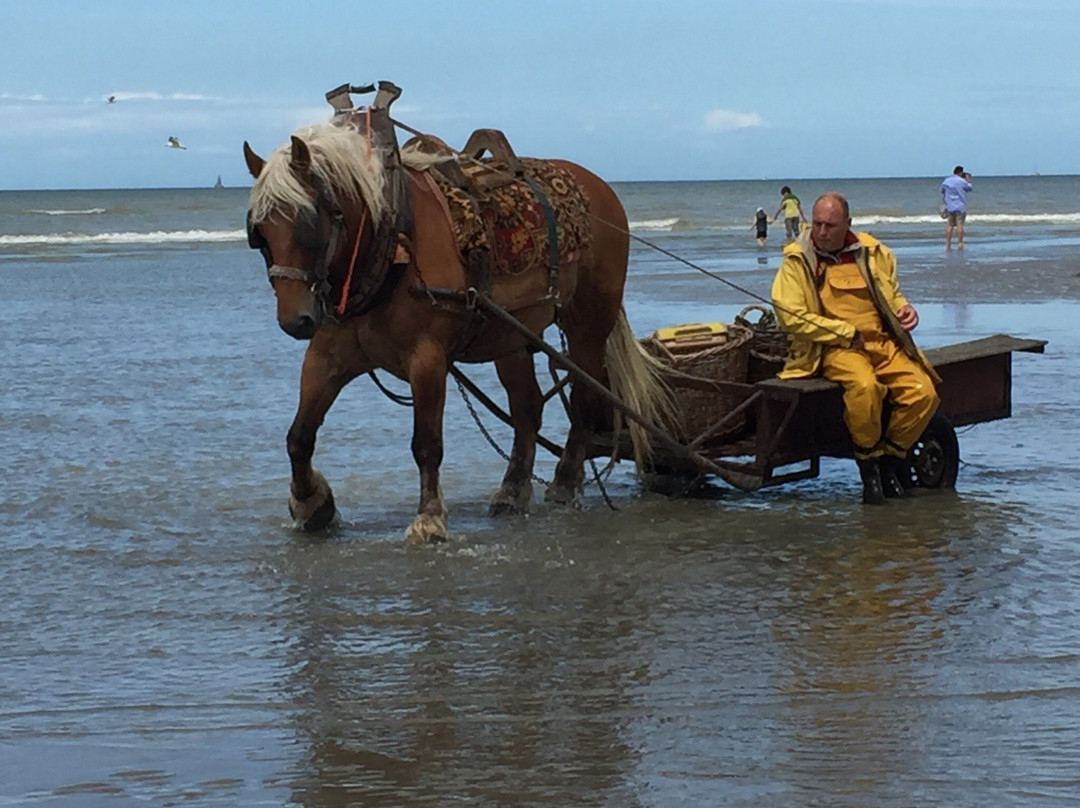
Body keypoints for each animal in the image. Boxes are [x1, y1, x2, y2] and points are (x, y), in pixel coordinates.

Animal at [243, 115, 673, 542]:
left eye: (308, 224)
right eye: (260, 233)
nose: (295, 320)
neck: (390, 246)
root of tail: (599, 187)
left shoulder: (427, 359)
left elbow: (426, 444)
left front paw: (429, 518)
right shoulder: (326, 357)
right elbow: (299, 437)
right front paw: (311, 504)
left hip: (588, 324)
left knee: (583, 396)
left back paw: (566, 481)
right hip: (511, 335)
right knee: (528, 408)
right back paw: (513, 490)